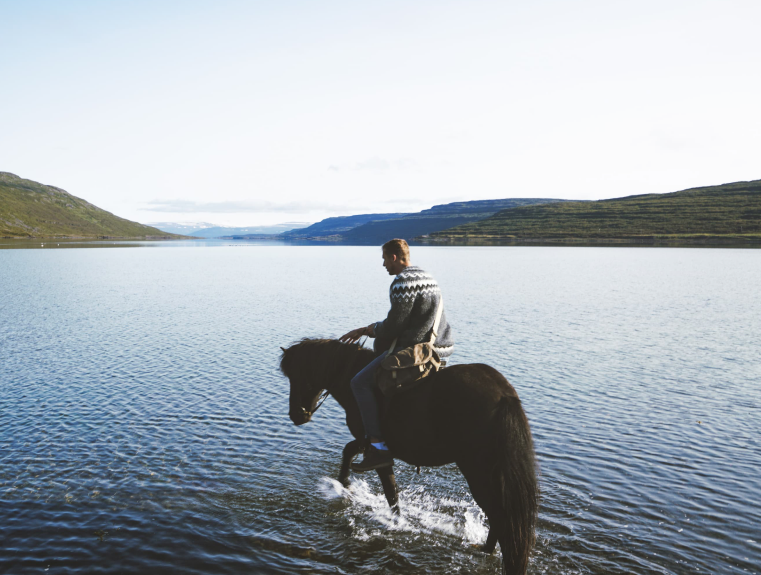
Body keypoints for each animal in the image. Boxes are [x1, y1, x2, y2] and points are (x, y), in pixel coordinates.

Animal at [280, 338, 538, 575]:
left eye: (298, 375)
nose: (296, 415)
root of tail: (504, 395)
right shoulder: (367, 443)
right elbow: (350, 453)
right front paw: (344, 485)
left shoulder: (378, 451)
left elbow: (390, 493)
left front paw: (396, 522)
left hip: (478, 472)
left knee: (501, 518)